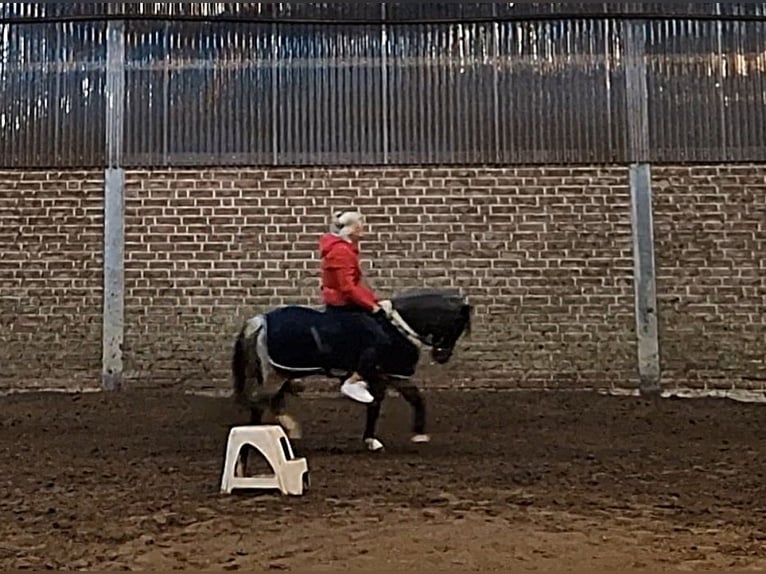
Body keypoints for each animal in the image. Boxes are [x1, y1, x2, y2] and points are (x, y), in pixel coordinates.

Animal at [231, 290, 474, 456]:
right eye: (457, 325)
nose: (442, 356)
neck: (397, 327)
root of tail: (260, 320)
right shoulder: (381, 375)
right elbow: (377, 404)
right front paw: (377, 441)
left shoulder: (394, 376)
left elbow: (412, 400)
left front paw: (415, 434)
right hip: (275, 375)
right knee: (259, 403)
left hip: (282, 374)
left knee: (273, 402)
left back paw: (289, 430)